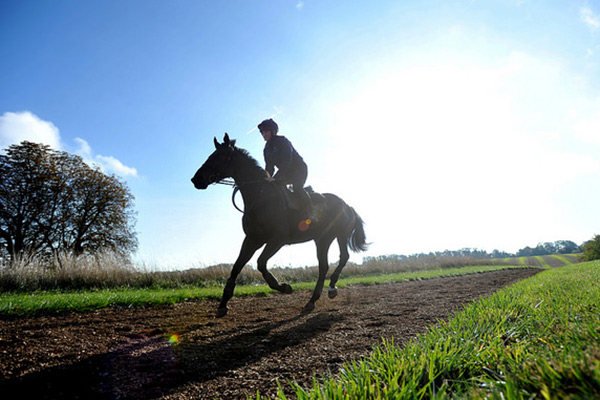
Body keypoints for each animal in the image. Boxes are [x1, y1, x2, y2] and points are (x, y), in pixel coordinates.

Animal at [192, 134, 368, 318]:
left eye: (219, 156)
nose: (196, 179)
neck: (261, 197)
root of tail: (348, 206)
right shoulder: (252, 239)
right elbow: (236, 267)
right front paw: (223, 304)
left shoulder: (277, 240)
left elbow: (261, 263)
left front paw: (284, 287)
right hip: (322, 239)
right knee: (324, 266)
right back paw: (313, 300)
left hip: (339, 235)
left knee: (343, 258)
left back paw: (331, 288)